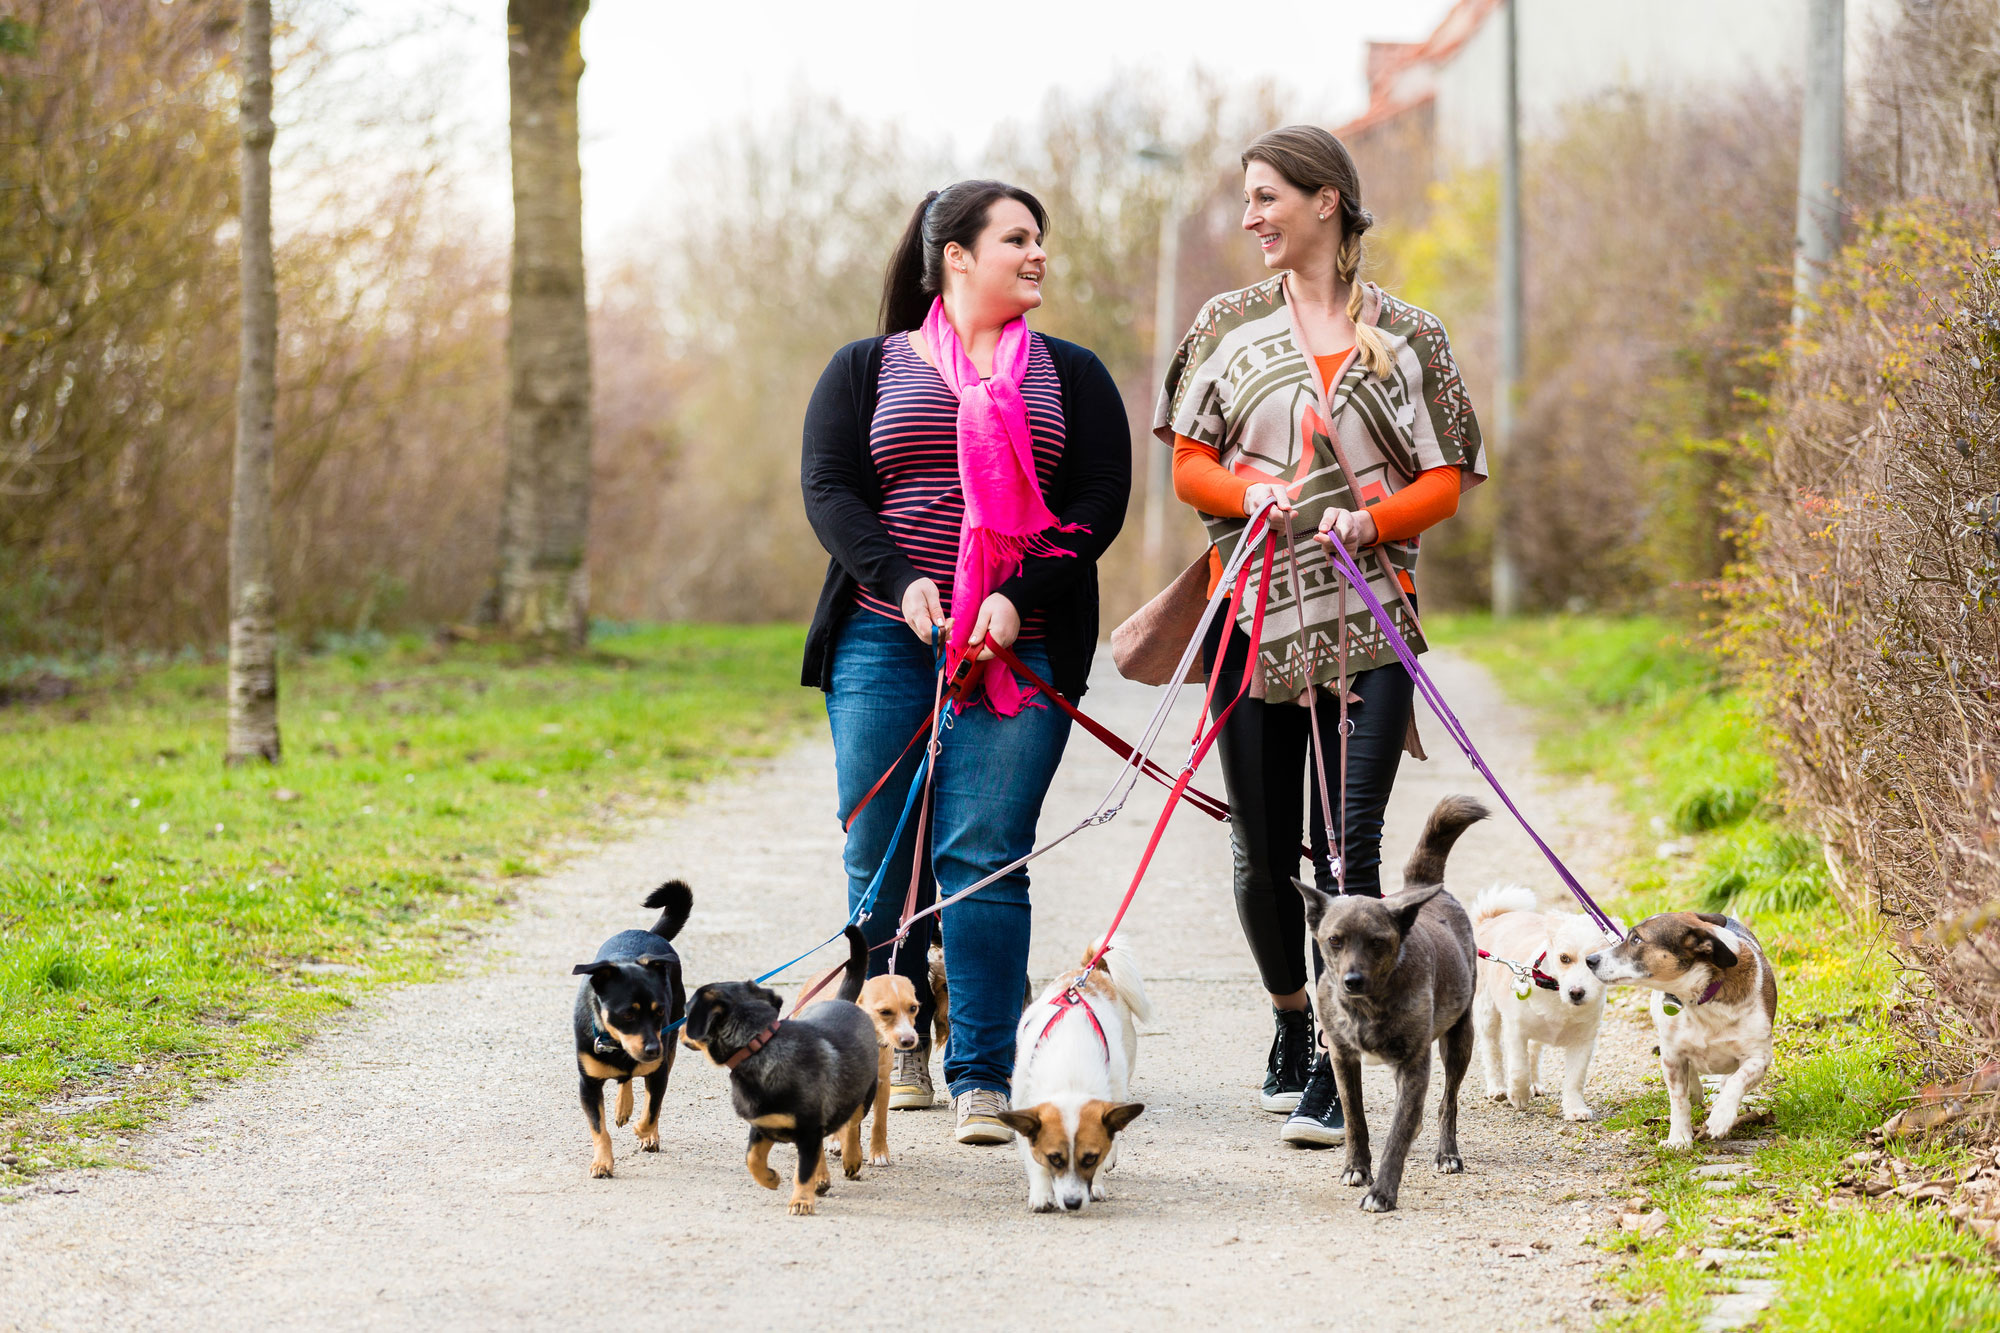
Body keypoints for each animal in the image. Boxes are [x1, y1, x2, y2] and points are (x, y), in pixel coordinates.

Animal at [568, 880, 692, 1176]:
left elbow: (652, 1110)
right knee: (626, 1079)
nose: (653, 1049)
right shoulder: (588, 1085)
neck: (616, 1044)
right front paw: (602, 1162)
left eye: (660, 1012)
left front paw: (644, 1132)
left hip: (669, 1050)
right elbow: (598, 1129)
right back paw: (622, 1106)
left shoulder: (659, 1072)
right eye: (627, 1014)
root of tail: (647, 933)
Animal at [684, 924, 880, 1216]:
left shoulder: (808, 1130)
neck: (758, 1045)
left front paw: (801, 1201)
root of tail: (843, 1001)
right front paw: (771, 1178)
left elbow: (803, 1171)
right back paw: (822, 1178)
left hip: (863, 1093)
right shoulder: (763, 1125)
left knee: (852, 1125)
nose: (676, 1029)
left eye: (687, 1011)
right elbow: (752, 1158)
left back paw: (852, 1159)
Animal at [1000, 940, 1160, 1208]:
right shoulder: (1025, 1110)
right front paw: (1041, 1194)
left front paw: (1096, 1183)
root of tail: (1092, 971)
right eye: (1054, 1158)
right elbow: (1035, 1161)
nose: (1073, 1203)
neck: (1070, 1076)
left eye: (1090, 1159)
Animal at [1288, 792, 1496, 1208]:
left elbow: (1398, 1132)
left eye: (1377, 942)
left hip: (1458, 1040)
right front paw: (1356, 1168)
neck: (1367, 1006)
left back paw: (1447, 1154)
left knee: (1447, 1102)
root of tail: (1424, 887)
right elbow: (1355, 1118)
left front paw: (1382, 1192)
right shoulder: (1343, 1059)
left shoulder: (1415, 1064)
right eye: (1334, 940)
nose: (1352, 981)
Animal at [1584, 908, 1776, 1144]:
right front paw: (1679, 1139)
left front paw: (1721, 1117)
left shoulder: (1759, 1057)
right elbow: (1679, 1101)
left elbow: (1737, 1081)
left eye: (1636, 939)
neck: (1702, 996)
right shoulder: (1672, 1058)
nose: (1590, 959)